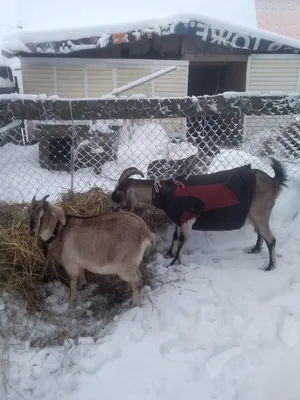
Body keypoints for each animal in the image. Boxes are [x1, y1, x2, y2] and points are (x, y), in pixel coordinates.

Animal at [27, 195, 157, 308]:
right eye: (28, 214)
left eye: (43, 215)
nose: (32, 232)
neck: (59, 232)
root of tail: (146, 232)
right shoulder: (78, 261)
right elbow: (81, 272)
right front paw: (83, 284)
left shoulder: (70, 264)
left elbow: (72, 281)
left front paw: (71, 301)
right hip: (133, 262)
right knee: (139, 277)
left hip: (124, 266)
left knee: (136, 281)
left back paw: (135, 304)